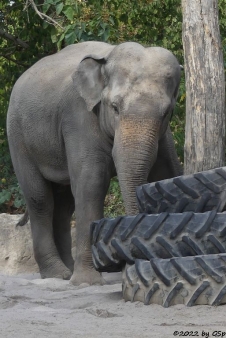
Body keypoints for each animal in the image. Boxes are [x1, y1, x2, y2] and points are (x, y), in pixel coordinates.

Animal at [7, 41, 183, 286]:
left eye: (167, 112)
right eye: (115, 107)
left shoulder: (164, 138)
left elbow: (167, 176)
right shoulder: (78, 117)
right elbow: (92, 184)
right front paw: (87, 282)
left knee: (64, 205)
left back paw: (68, 270)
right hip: (18, 138)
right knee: (41, 199)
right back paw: (58, 274)